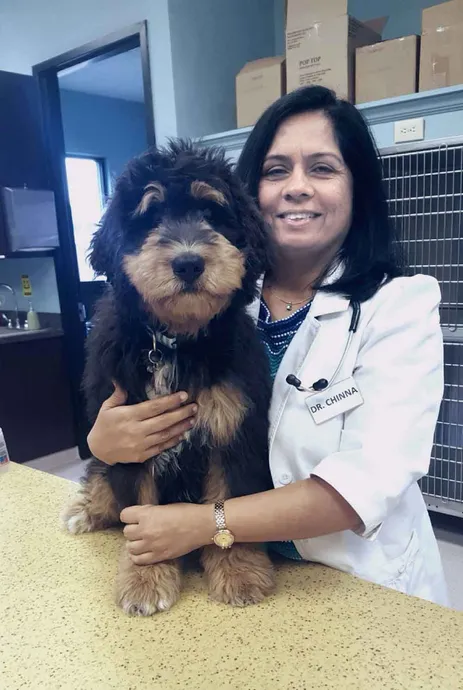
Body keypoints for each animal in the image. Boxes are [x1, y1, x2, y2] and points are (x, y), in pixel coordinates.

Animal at [61, 140, 276, 612]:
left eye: (212, 212)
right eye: (151, 215)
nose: (189, 263)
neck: (174, 341)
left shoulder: (231, 426)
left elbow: (227, 498)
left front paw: (238, 570)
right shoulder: (129, 438)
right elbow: (141, 513)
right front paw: (145, 578)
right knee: (101, 481)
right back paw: (84, 510)